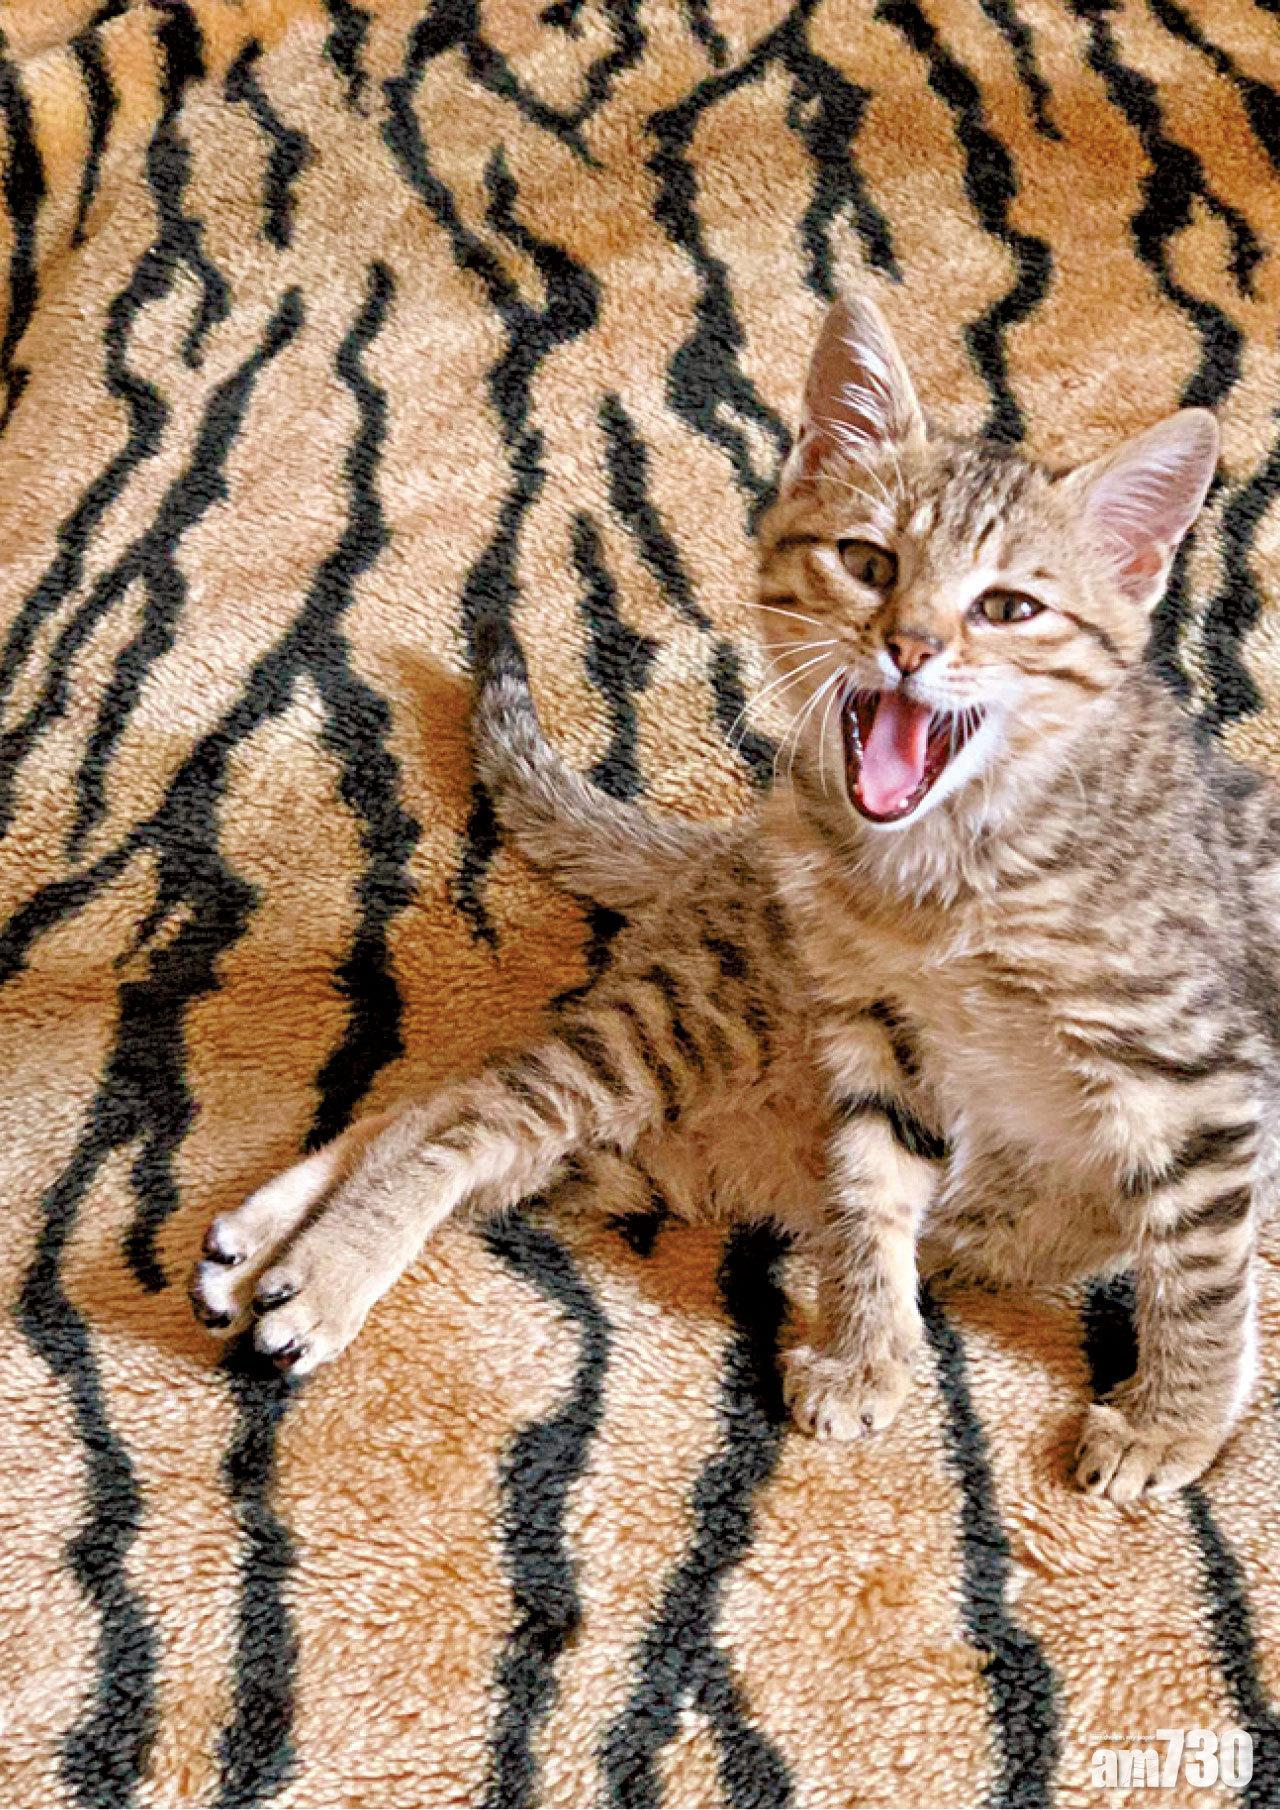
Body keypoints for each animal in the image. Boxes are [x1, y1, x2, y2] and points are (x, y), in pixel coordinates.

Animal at [192, 294, 1277, 1505]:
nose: (908, 647)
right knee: (472, 1110)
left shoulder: (1197, 1076)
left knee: (453, 1104)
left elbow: (1195, 1272)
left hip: (660, 1129)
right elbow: (875, 1207)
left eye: (1007, 606)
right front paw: (872, 1349)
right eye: (866, 560)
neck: (936, 877)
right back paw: (317, 1265)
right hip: (686, 1031)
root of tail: (729, 847)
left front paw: (1171, 1419)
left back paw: (277, 1248)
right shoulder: (886, 1041)